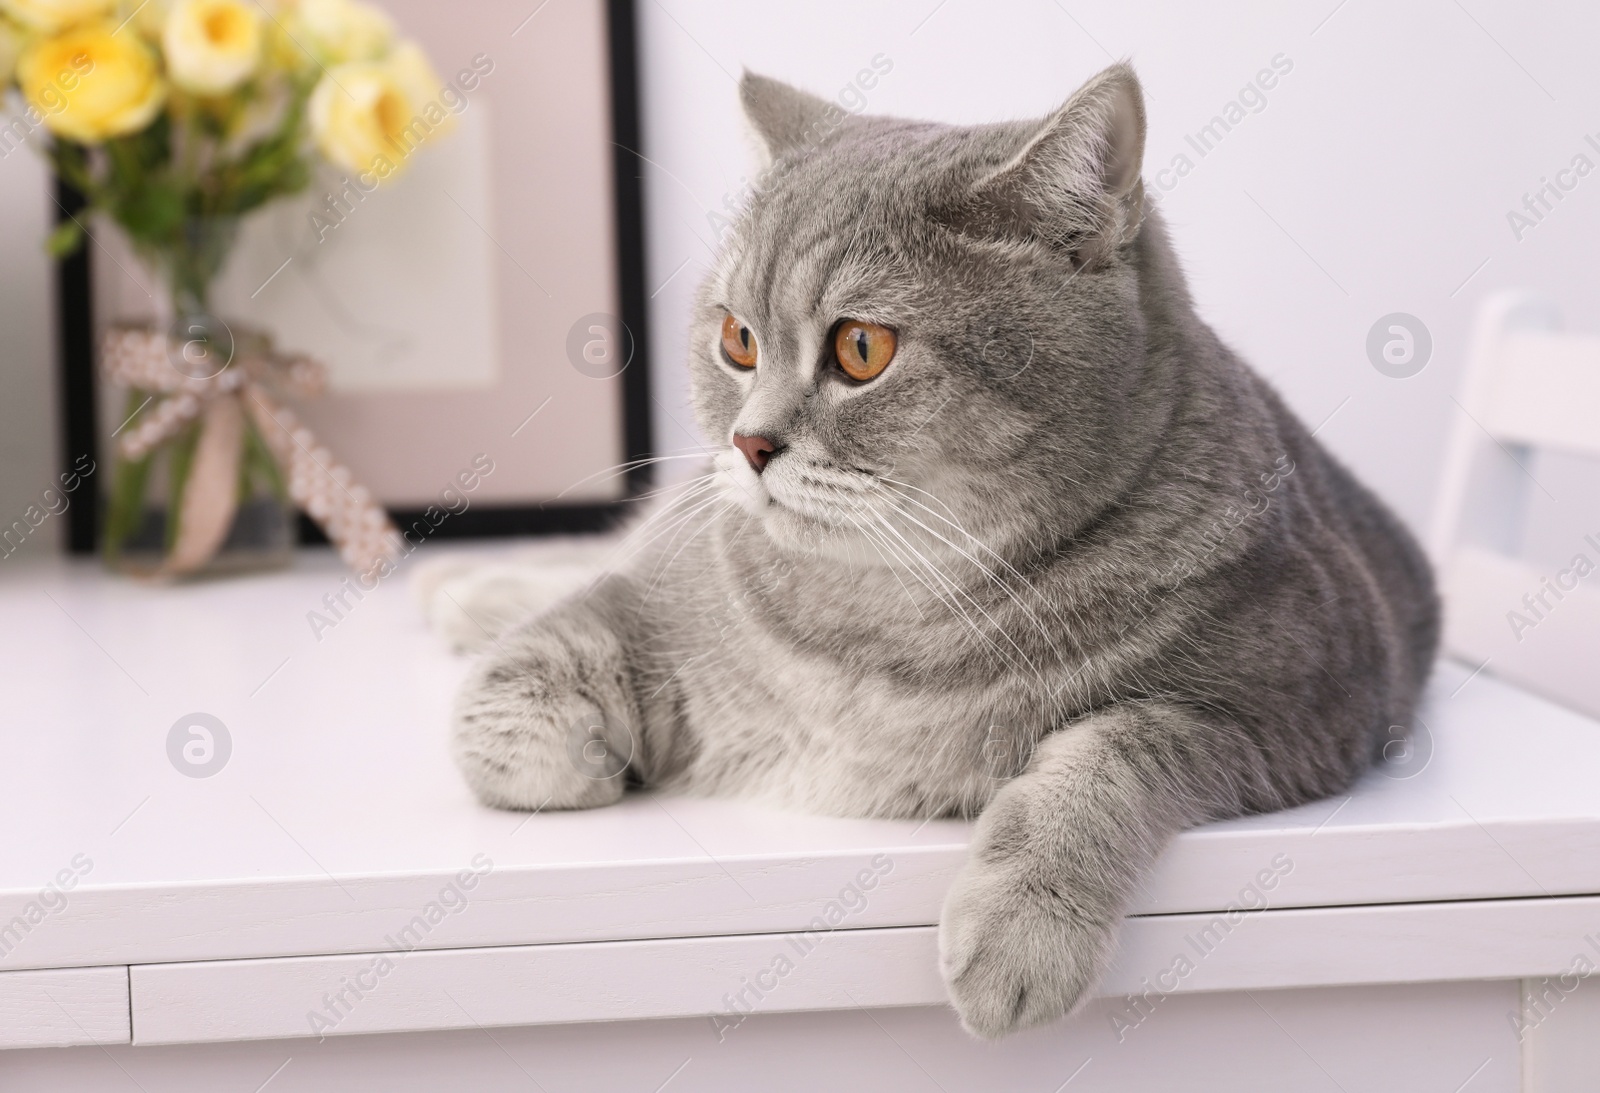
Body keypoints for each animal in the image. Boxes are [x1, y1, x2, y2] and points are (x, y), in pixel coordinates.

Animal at [451, 64, 1440, 1036]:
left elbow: (1113, 749)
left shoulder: (1302, 698)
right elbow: (510, 711)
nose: (748, 443)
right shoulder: (649, 599)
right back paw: (464, 589)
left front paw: (1022, 926)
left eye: (861, 347)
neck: (877, 618)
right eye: (737, 338)